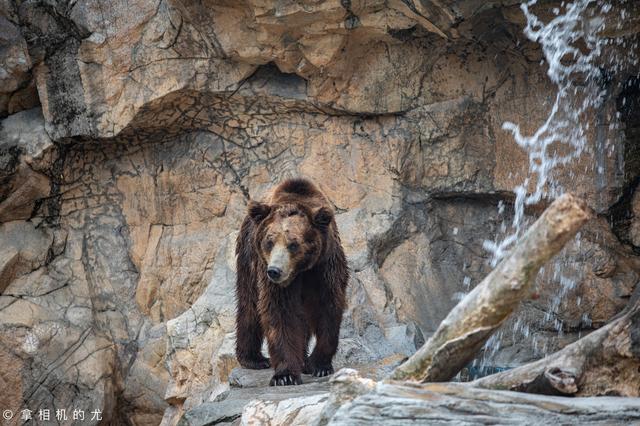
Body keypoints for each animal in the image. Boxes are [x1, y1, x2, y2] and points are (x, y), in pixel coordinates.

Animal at [235, 176, 348, 386]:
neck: (300, 271)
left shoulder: (324, 267)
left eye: (293, 244)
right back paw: (254, 358)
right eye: (269, 241)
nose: (275, 271)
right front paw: (285, 375)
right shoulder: (273, 281)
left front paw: (318, 365)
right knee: (249, 305)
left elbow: (328, 308)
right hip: (248, 257)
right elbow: (280, 313)